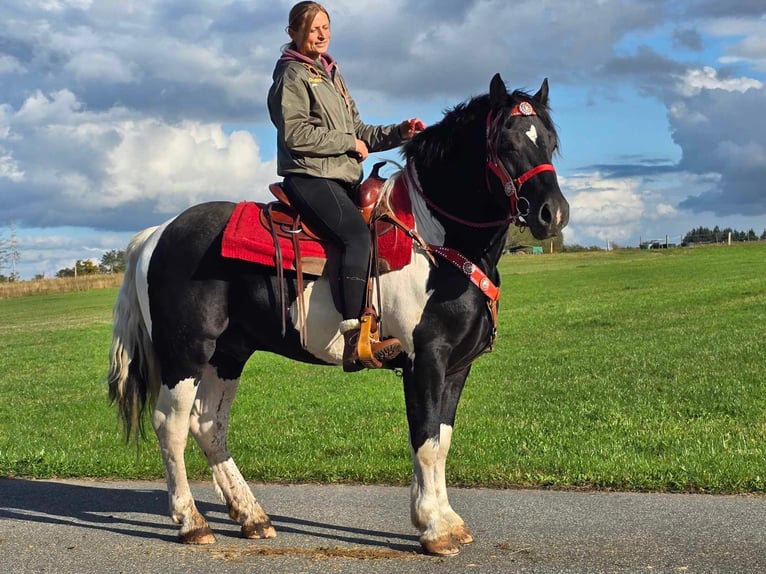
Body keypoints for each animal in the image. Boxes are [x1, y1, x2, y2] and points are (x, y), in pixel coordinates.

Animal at [109, 73, 568, 560]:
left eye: (550, 141)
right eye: (506, 143)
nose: (553, 213)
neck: (434, 238)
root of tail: (157, 234)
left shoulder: (457, 367)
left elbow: (441, 441)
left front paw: (446, 520)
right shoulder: (426, 361)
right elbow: (425, 443)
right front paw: (433, 529)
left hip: (228, 355)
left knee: (209, 425)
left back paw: (252, 516)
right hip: (186, 355)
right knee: (172, 426)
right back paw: (191, 522)